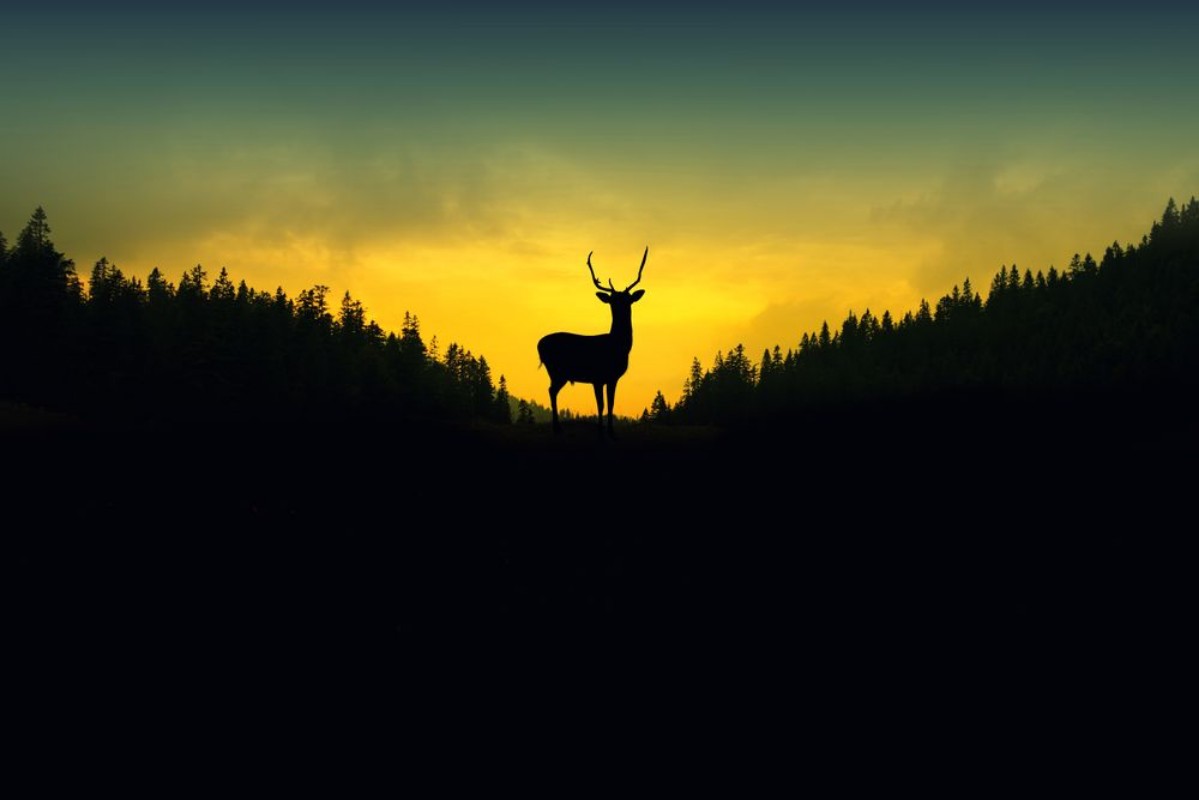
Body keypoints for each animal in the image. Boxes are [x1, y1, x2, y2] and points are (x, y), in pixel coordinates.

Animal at [538, 247, 647, 438]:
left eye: (627, 300)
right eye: (612, 301)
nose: (620, 306)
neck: (618, 347)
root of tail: (538, 345)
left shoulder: (612, 378)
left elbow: (610, 404)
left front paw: (611, 432)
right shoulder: (597, 377)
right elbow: (601, 405)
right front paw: (601, 431)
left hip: (557, 372)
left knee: (552, 391)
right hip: (557, 371)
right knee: (551, 391)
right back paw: (556, 428)